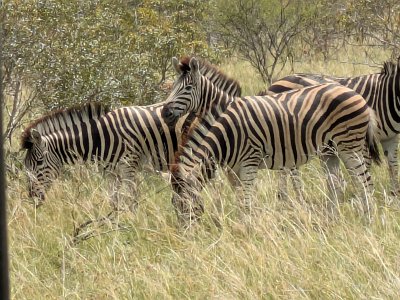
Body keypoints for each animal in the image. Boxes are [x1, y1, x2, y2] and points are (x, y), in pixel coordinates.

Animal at [22, 58, 241, 209]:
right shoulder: (110, 174)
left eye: (38, 163)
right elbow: (114, 201)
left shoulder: (129, 167)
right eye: (27, 165)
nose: (32, 197)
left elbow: (132, 201)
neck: (100, 137)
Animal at [160, 57, 382, 224]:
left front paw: (247, 226)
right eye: (172, 88)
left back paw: (369, 220)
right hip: (330, 149)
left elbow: (244, 198)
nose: (165, 113)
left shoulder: (246, 161)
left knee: (364, 182)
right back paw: (332, 219)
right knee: (338, 183)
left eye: (188, 88)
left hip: (348, 146)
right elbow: (240, 196)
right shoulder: (232, 166)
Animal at [266, 59, 400, 195]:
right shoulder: (363, 140)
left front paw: (394, 195)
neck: (384, 96)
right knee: (290, 170)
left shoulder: (391, 139)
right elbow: (364, 167)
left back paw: (287, 196)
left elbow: (393, 166)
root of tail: (275, 82)